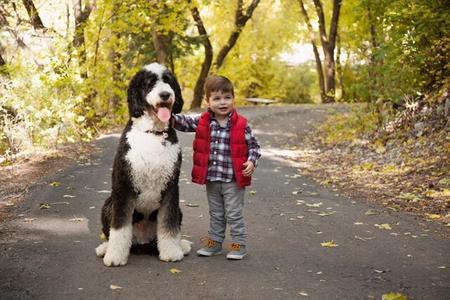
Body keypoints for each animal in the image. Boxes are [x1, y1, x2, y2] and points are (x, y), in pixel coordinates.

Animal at [96, 63, 191, 268]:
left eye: (168, 81)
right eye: (149, 83)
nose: (165, 95)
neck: (152, 133)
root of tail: (142, 240)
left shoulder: (171, 187)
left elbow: (168, 223)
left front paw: (171, 251)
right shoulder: (124, 185)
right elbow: (119, 227)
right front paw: (115, 256)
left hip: (178, 210)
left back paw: (182, 244)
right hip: (108, 203)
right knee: (112, 232)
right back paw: (105, 248)